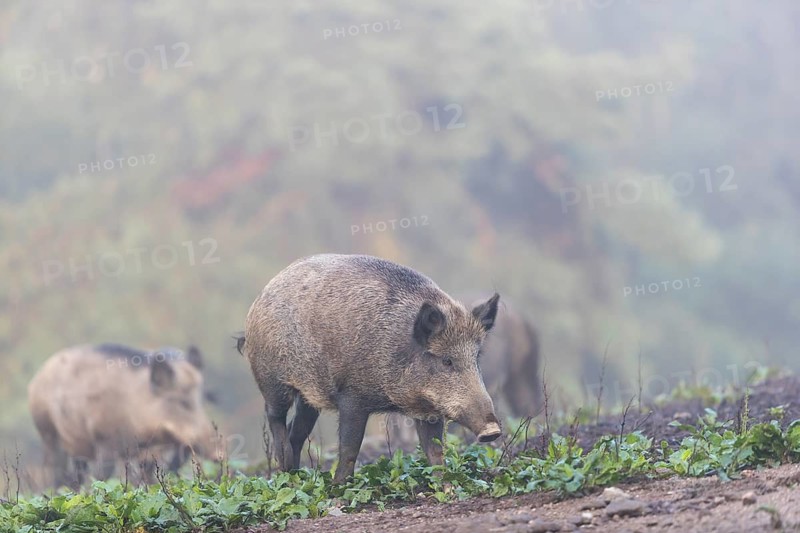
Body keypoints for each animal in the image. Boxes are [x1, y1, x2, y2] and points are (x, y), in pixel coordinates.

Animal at [28, 343, 219, 488]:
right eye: (182, 402)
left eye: (201, 399)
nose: (219, 454)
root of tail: (36, 379)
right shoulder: (105, 440)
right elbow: (103, 476)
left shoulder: (149, 452)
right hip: (48, 432)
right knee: (56, 472)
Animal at [241, 253, 502, 484]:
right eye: (446, 361)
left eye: (476, 358)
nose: (492, 430)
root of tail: (261, 297)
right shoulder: (352, 396)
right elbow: (349, 448)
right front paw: (338, 488)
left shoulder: (428, 410)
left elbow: (435, 450)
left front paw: (445, 487)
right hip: (272, 379)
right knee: (275, 415)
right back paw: (284, 463)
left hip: (309, 396)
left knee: (297, 432)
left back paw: (294, 477)